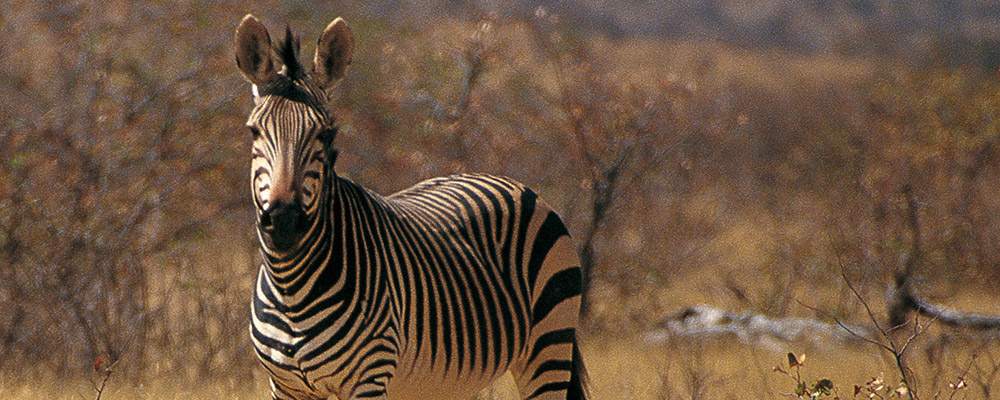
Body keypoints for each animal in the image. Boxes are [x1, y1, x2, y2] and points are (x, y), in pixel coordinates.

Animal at [235, 15, 587, 400]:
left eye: (326, 134)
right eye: (254, 132)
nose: (284, 221)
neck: (291, 289)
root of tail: (510, 182)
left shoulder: (370, 376)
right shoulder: (284, 386)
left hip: (548, 346)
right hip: (455, 378)